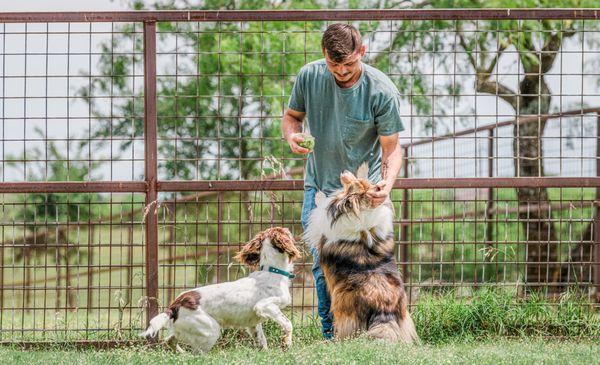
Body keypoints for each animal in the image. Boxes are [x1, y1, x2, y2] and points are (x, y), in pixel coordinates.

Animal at [139, 226, 300, 352]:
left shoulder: (253, 323)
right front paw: (287, 343)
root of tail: (175, 305)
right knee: (196, 353)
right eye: (286, 232)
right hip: (210, 330)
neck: (272, 271)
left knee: (170, 340)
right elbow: (288, 323)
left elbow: (262, 341)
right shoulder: (264, 306)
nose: (289, 229)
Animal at [304, 165, 418, 342]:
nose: (344, 171)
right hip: (405, 319)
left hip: (344, 308)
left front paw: (319, 195)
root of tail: (384, 310)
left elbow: (320, 207)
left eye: (354, 183)